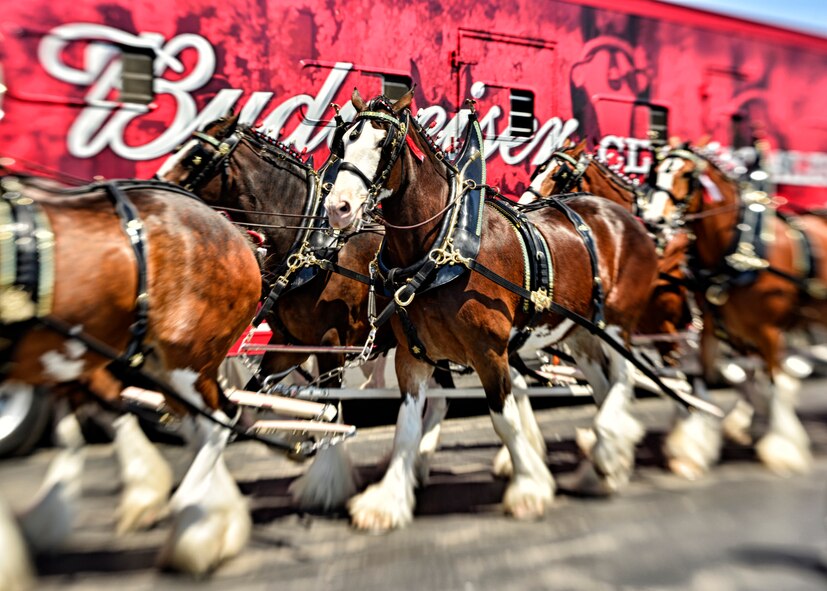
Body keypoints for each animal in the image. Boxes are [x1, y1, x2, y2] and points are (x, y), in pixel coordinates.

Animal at [0, 173, 262, 580]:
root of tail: (232, 231)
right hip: (137, 360)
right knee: (196, 425)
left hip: (186, 358)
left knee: (218, 422)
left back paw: (193, 529)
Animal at [322, 90, 660, 536]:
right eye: (344, 140)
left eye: (385, 144)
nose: (337, 207)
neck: (442, 246)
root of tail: (624, 217)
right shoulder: (413, 355)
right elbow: (406, 428)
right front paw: (387, 500)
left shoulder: (489, 352)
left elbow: (504, 419)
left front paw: (529, 486)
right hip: (581, 332)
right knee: (604, 387)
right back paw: (605, 461)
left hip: (617, 324)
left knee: (624, 378)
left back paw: (609, 450)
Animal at [644, 146, 827, 478]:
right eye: (655, 172)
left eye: (687, 175)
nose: (653, 220)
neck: (738, 249)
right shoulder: (719, 328)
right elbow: (708, 379)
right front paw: (692, 447)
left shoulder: (769, 331)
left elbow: (775, 383)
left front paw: (784, 448)